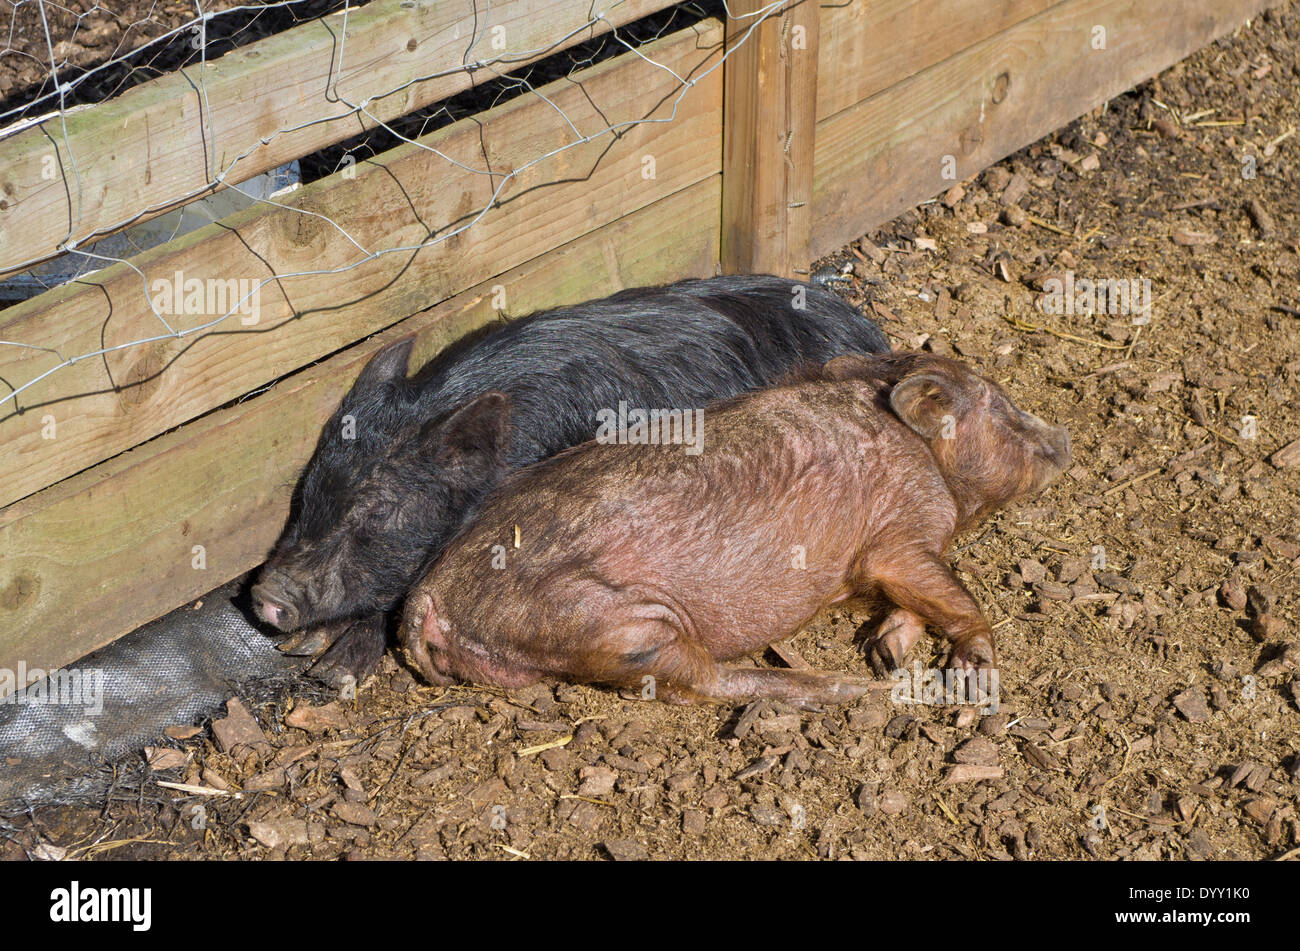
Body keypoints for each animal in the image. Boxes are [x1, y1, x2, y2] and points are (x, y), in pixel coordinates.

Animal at [400, 350, 1071, 706]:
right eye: (1002, 407)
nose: (1064, 440)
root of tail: (428, 596)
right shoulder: (903, 528)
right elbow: (946, 589)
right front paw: (971, 674)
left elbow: (915, 598)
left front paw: (886, 651)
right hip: (612, 623)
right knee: (701, 680)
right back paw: (852, 689)